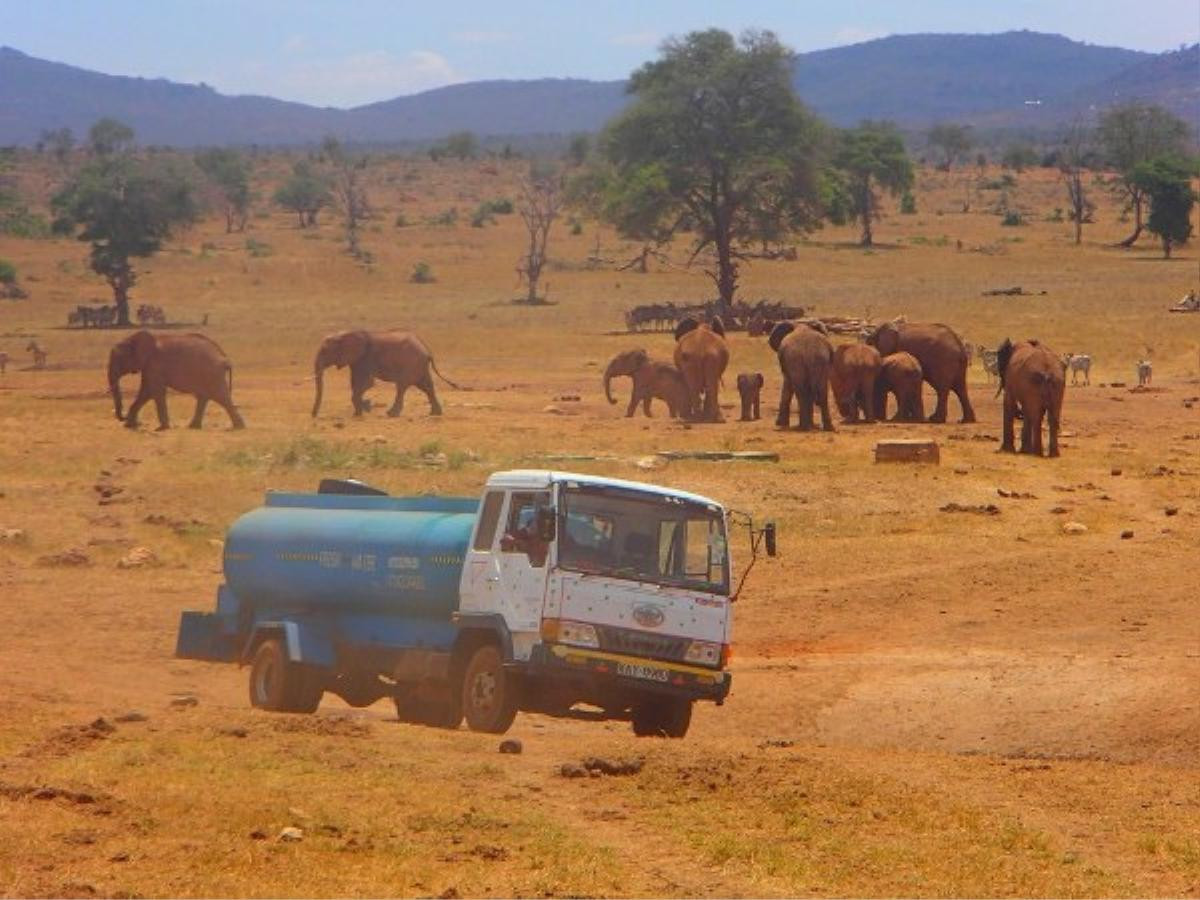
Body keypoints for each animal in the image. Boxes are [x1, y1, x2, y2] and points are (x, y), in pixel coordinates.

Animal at [109, 333, 244, 432]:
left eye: (119, 359)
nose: (123, 417)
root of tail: (224, 357)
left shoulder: (155, 365)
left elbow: (155, 392)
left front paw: (161, 429)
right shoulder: (149, 367)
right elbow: (146, 392)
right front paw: (129, 426)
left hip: (212, 374)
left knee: (220, 397)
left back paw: (239, 427)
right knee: (204, 397)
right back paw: (193, 427)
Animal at [312, 331, 456, 420]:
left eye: (325, 351)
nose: (314, 415)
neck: (346, 334)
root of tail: (428, 351)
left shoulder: (366, 358)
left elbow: (367, 383)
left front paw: (363, 410)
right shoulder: (356, 360)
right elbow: (355, 383)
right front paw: (362, 410)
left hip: (410, 364)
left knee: (402, 387)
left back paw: (391, 414)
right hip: (419, 367)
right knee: (427, 387)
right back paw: (435, 413)